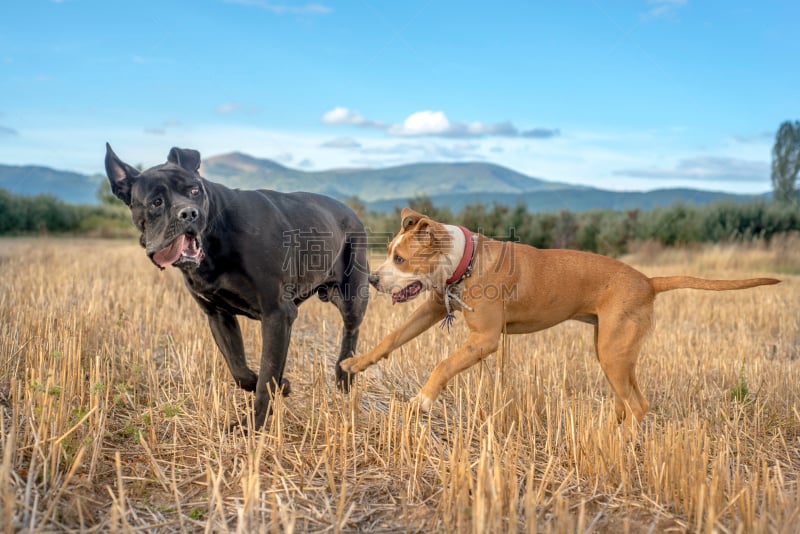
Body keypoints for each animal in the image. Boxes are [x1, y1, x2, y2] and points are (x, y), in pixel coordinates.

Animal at [104, 144, 370, 430]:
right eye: (156, 202)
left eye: (194, 191)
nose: (189, 213)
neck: (214, 238)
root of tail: (352, 212)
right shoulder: (219, 316)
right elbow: (241, 369)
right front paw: (283, 386)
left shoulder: (276, 312)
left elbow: (266, 374)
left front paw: (253, 425)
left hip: (352, 295)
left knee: (351, 332)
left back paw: (343, 376)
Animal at [340, 209, 780, 428]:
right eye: (389, 253)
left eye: (400, 258)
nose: (374, 279)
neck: (464, 262)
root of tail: (649, 281)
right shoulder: (432, 307)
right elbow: (392, 338)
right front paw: (355, 364)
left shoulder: (485, 340)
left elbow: (443, 364)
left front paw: (422, 401)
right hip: (612, 352)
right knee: (629, 400)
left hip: (614, 352)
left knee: (639, 406)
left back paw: (620, 447)